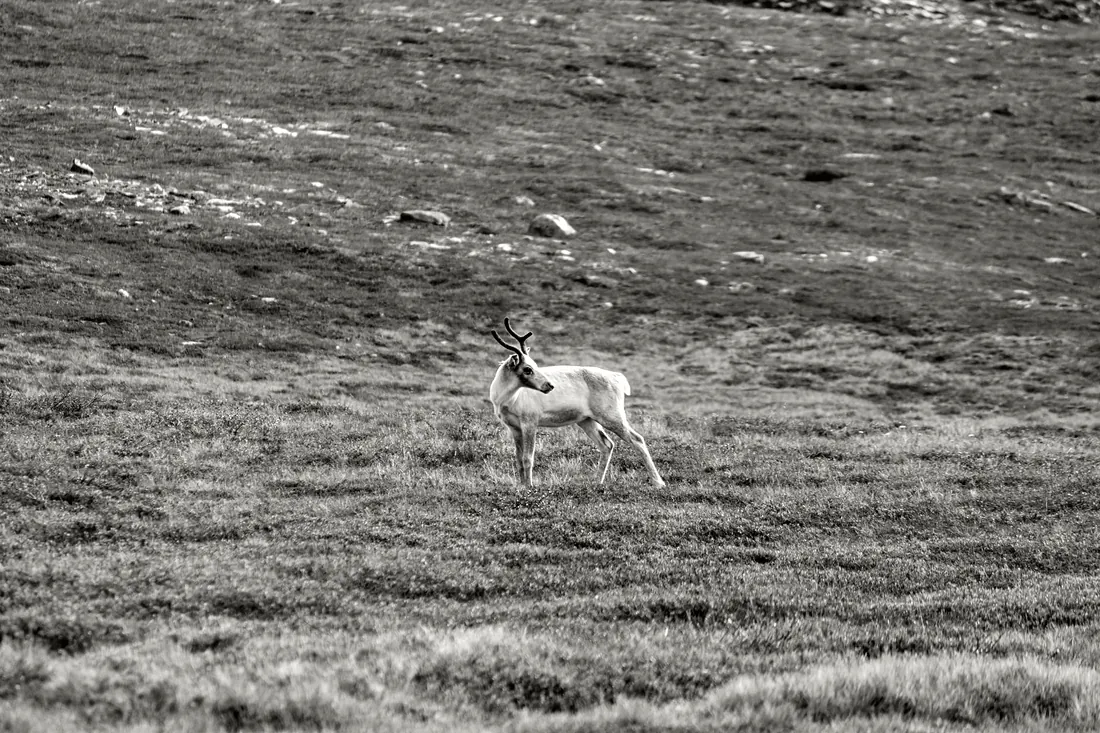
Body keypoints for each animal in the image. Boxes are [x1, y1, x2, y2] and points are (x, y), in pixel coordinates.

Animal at [488, 318, 665, 487]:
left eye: (535, 365)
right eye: (527, 369)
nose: (549, 385)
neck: (507, 398)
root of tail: (616, 377)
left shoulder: (530, 423)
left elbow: (527, 458)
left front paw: (529, 486)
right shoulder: (514, 428)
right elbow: (518, 459)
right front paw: (521, 486)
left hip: (611, 417)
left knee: (637, 439)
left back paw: (658, 483)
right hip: (587, 421)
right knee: (607, 444)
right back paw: (597, 483)